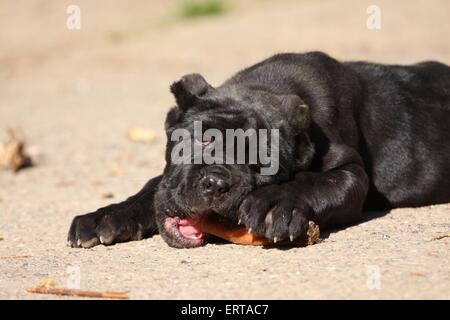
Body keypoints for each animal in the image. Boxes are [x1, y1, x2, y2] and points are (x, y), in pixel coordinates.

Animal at [67, 51, 450, 249]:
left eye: (262, 166)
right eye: (203, 139)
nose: (216, 184)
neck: (263, 89)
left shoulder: (351, 171)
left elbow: (316, 181)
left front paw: (275, 204)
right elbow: (152, 186)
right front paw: (107, 216)